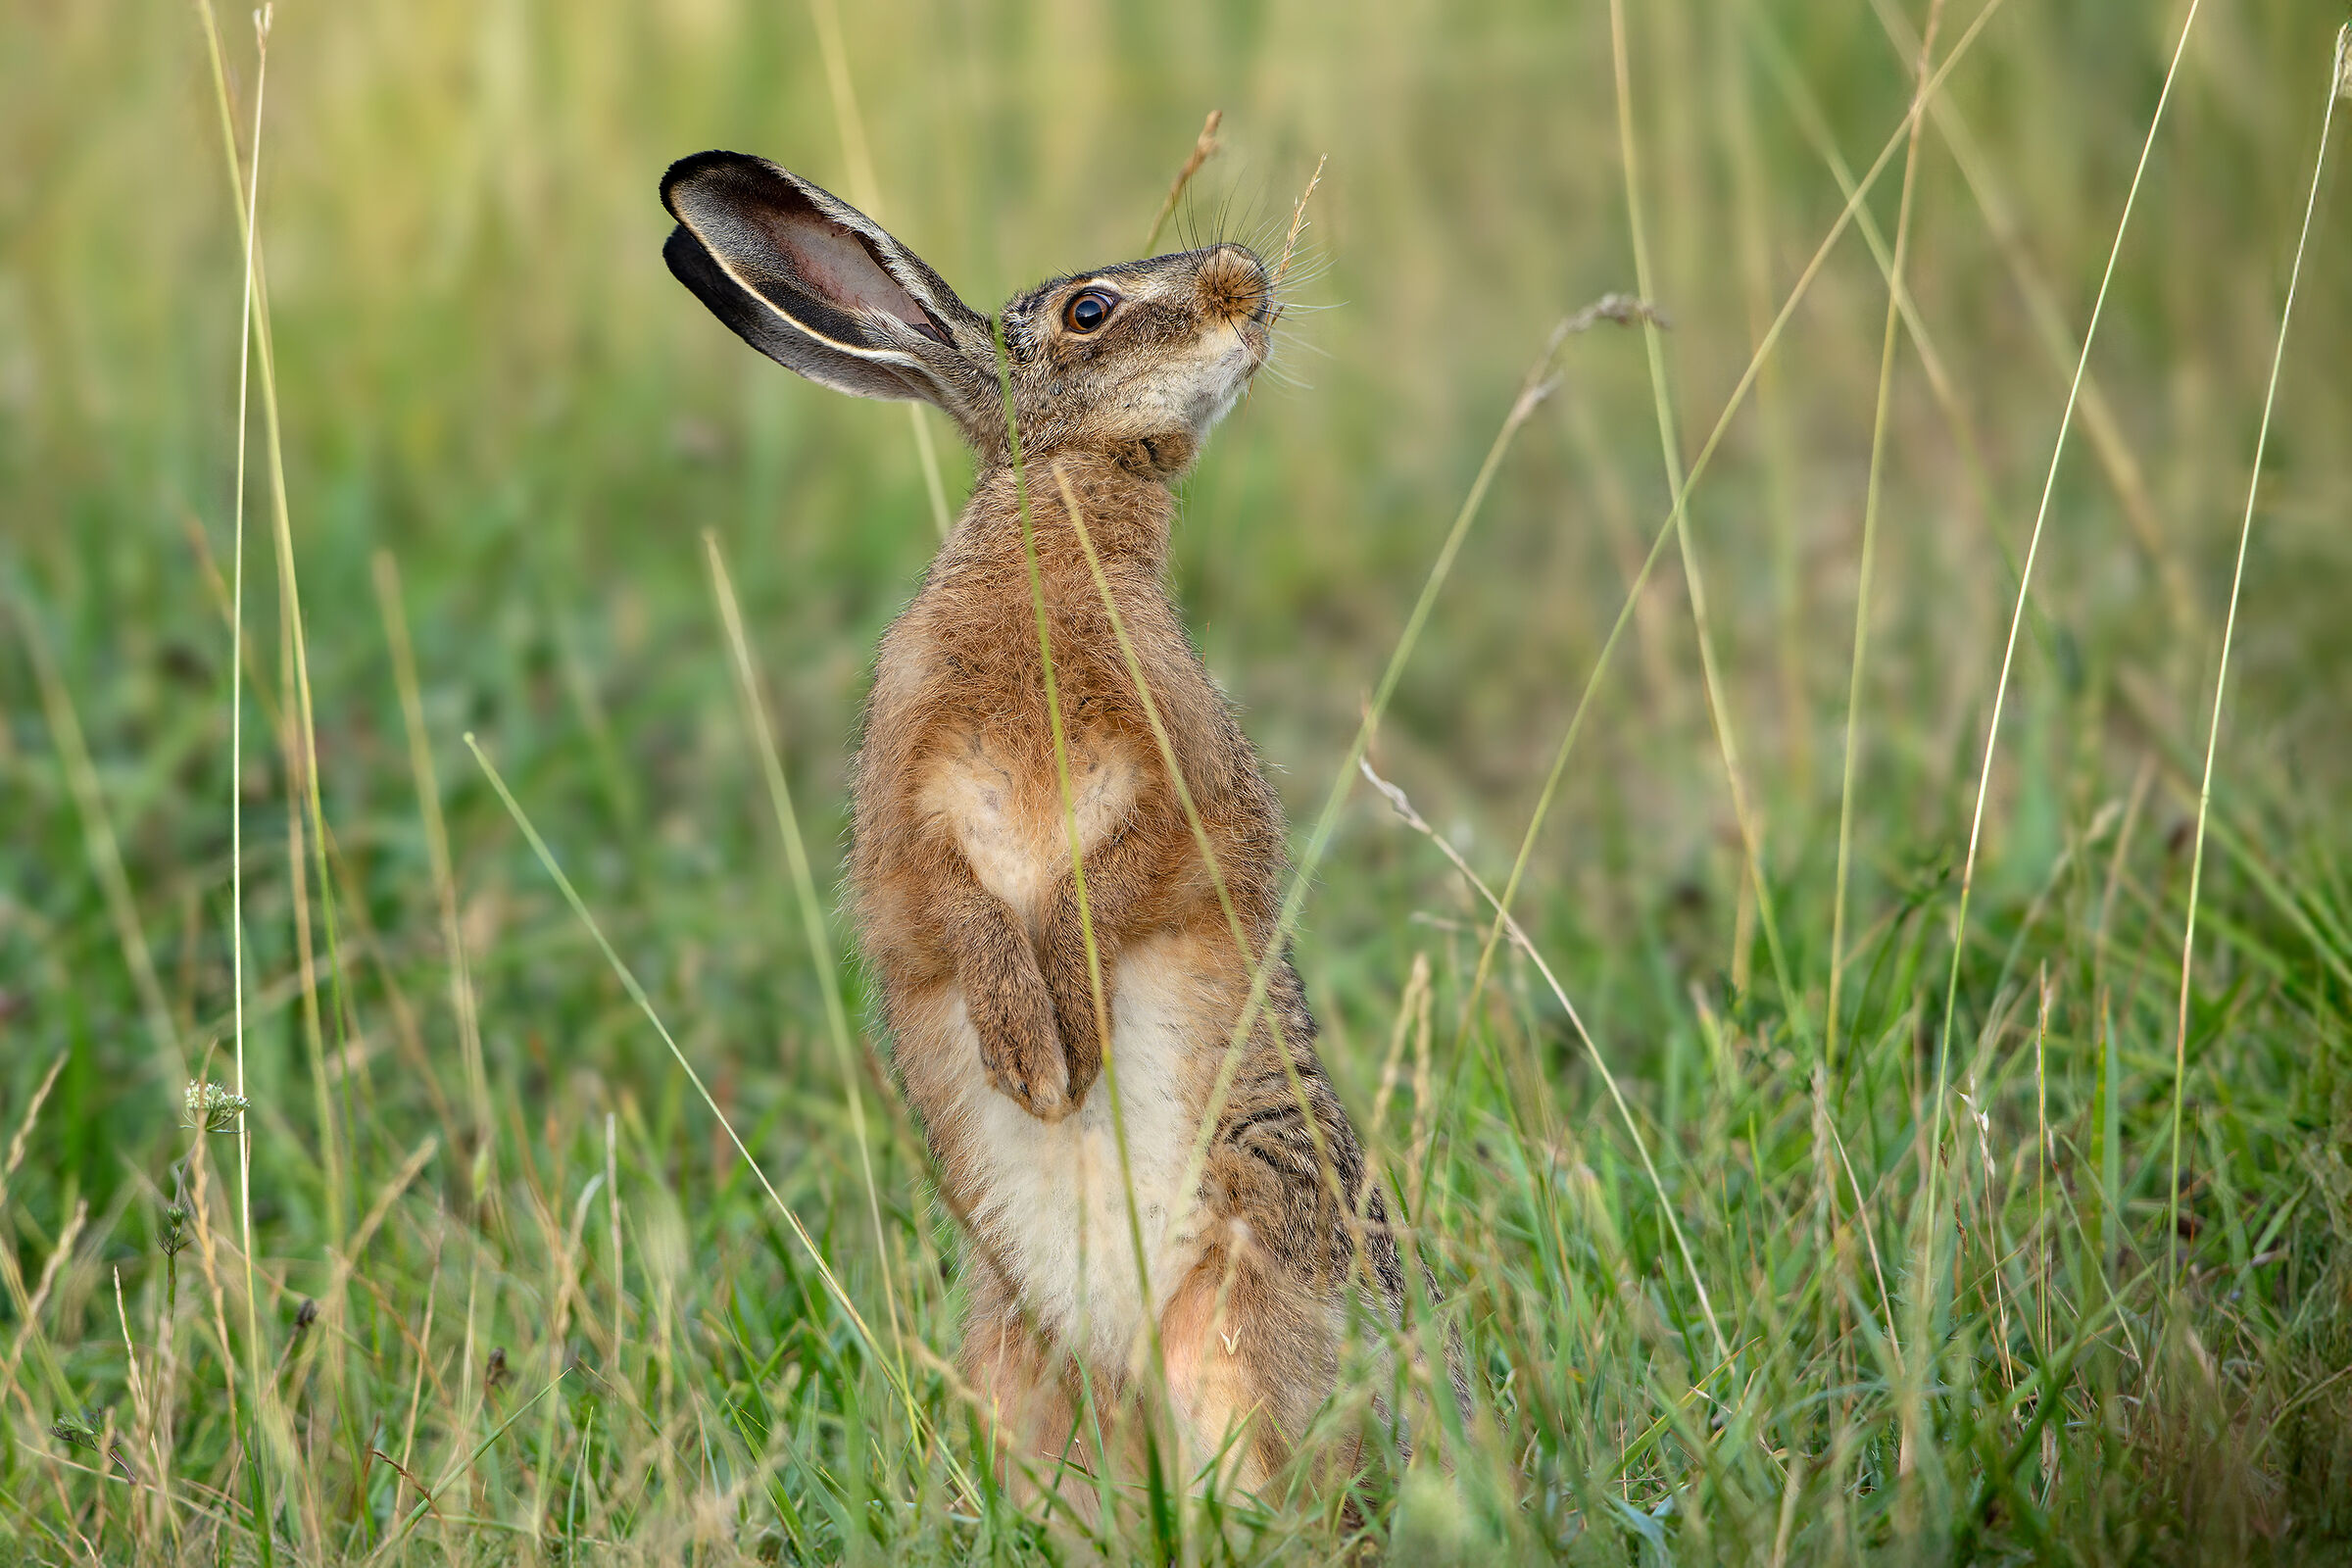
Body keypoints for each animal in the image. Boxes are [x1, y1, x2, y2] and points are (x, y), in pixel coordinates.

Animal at [660, 150, 1447, 1509]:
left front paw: (1055, 1040)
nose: (1251, 281)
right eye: (1091, 310)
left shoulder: (1187, 789)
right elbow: (957, 907)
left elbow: (1113, 886)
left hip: (1245, 1293)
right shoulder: (905, 814)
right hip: (1014, 1346)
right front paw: (1032, 1057)